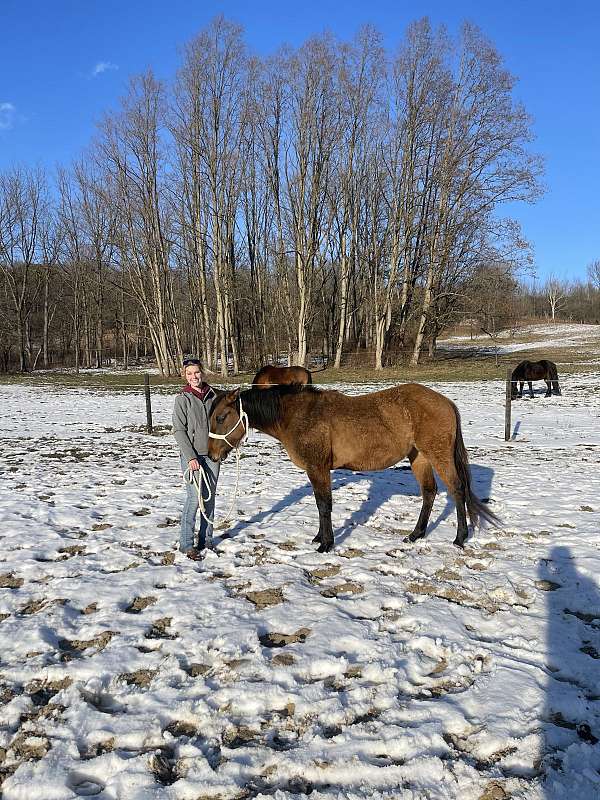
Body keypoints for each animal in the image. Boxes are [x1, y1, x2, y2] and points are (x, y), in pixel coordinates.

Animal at [208, 383, 499, 553]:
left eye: (221, 417)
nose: (211, 455)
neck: (298, 415)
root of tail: (446, 402)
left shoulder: (318, 468)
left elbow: (324, 505)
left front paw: (326, 544)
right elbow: (321, 504)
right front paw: (319, 538)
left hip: (438, 456)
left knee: (457, 490)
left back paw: (460, 538)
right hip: (419, 457)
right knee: (429, 492)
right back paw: (415, 535)